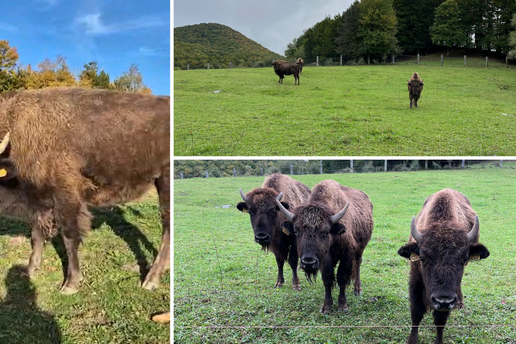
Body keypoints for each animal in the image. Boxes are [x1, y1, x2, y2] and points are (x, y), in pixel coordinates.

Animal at [0, 87, 170, 294]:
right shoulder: (40, 203)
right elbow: (37, 235)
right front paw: (29, 270)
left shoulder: (66, 198)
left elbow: (69, 238)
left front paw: (70, 285)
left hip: (165, 182)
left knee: (167, 228)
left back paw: (151, 280)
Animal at [276, 180, 372, 314]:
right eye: (296, 230)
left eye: (326, 231)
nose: (308, 263)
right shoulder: (324, 260)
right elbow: (327, 279)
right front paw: (326, 307)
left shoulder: (346, 255)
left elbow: (342, 277)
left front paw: (343, 306)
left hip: (360, 249)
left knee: (358, 264)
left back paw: (357, 289)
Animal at [398, 188, 490, 344]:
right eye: (422, 258)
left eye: (464, 258)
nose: (443, 301)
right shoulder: (415, 280)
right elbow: (416, 313)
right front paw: (412, 340)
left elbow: (440, 321)